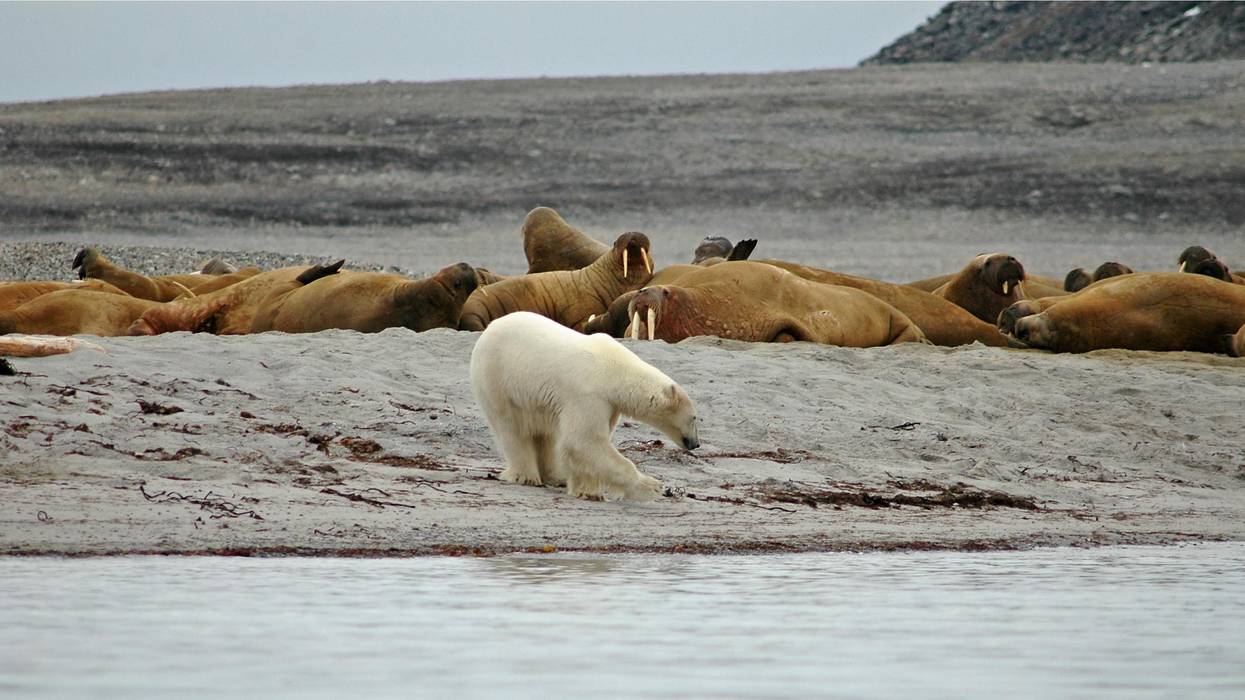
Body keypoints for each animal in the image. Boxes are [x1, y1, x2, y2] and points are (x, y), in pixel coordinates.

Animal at [469, 311, 700, 501]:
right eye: (694, 418)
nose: (696, 444)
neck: (615, 371)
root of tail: (489, 328)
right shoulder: (588, 394)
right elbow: (584, 440)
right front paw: (651, 487)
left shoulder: (609, 403)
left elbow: (586, 445)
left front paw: (586, 490)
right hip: (498, 379)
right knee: (512, 428)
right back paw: (525, 476)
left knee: (547, 434)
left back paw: (555, 476)